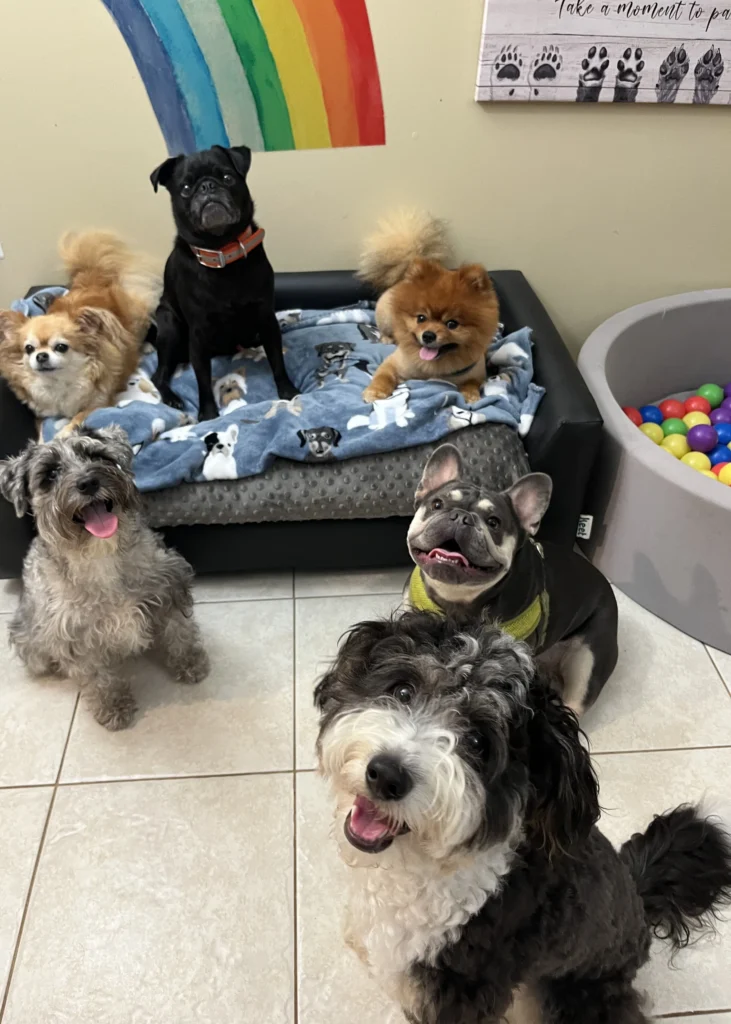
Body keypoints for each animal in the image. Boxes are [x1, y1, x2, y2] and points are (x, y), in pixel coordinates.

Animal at [0, 423, 208, 729]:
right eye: (50, 473)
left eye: (97, 456)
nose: (88, 483)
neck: (102, 557)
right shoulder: (75, 636)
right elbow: (97, 675)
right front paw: (113, 705)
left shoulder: (170, 587)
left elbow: (179, 632)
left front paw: (190, 663)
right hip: (29, 642)